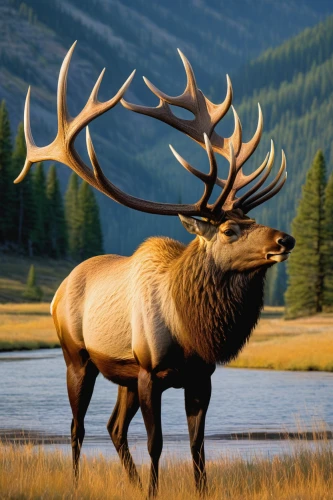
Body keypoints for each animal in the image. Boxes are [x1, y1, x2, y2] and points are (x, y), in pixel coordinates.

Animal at [15, 43, 294, 496]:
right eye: (230, 229)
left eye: (254, 220)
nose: (284, 240)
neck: (189, 328)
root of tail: (59, 289)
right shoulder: (150, 372)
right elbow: (156, 443)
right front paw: (152, 491)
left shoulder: (200, 377)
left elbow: (197, 446)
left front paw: (196, 490)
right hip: (78, 357)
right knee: (77, 427)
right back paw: (77, 481)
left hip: (122, 376)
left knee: (112, 428)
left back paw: (127, 481)